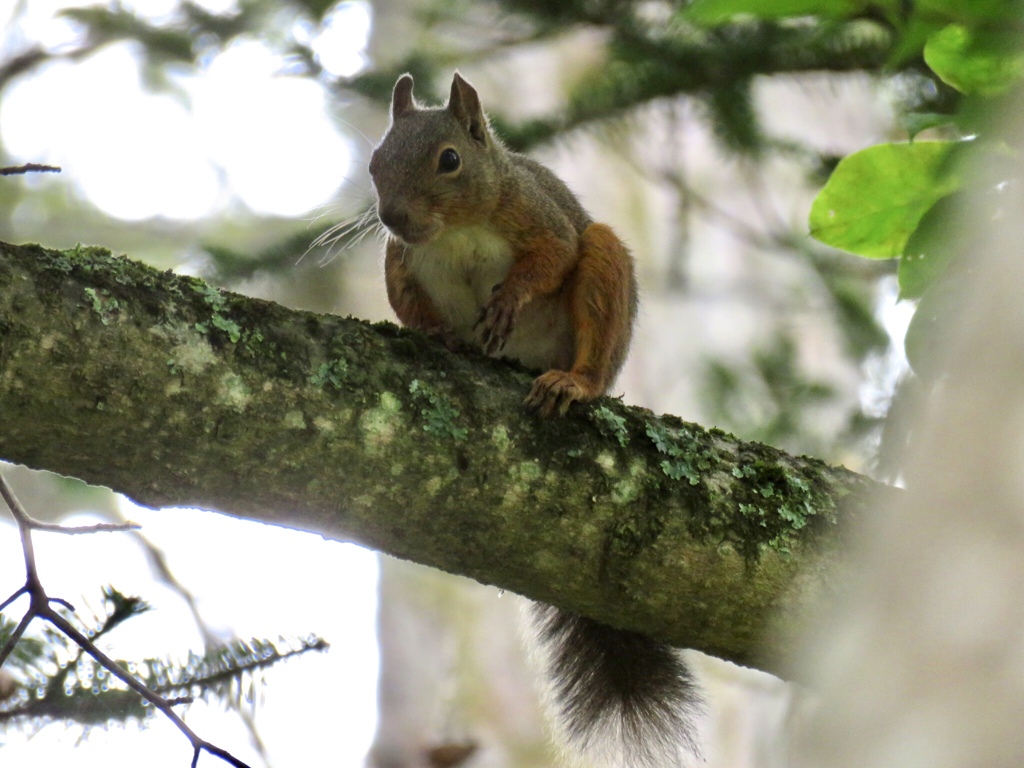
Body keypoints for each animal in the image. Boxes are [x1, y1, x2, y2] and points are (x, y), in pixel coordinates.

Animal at [368, 73, 704, 768]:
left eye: (449, 160)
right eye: (375, 161)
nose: (392, 217)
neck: (455, 230)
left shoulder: (537, 217)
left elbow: (552, 258)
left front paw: (511, 300)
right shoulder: (399, 259)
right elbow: (411, 305)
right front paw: (441, 334)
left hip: (605, 275)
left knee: (592, 287)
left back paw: (571, 383)